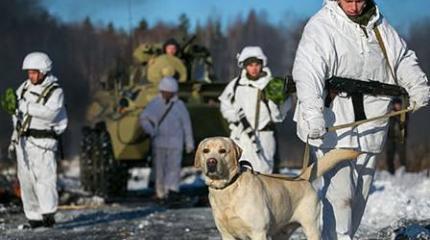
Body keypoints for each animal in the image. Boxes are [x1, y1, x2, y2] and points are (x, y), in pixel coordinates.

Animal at [194, 136, 360, 239]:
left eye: (222, 151)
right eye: (205, 150)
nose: (211, 162)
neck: (229, 188)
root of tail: (301, 178)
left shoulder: (258, 233)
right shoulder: (226, 235)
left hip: (311, 227)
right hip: (281, 233)